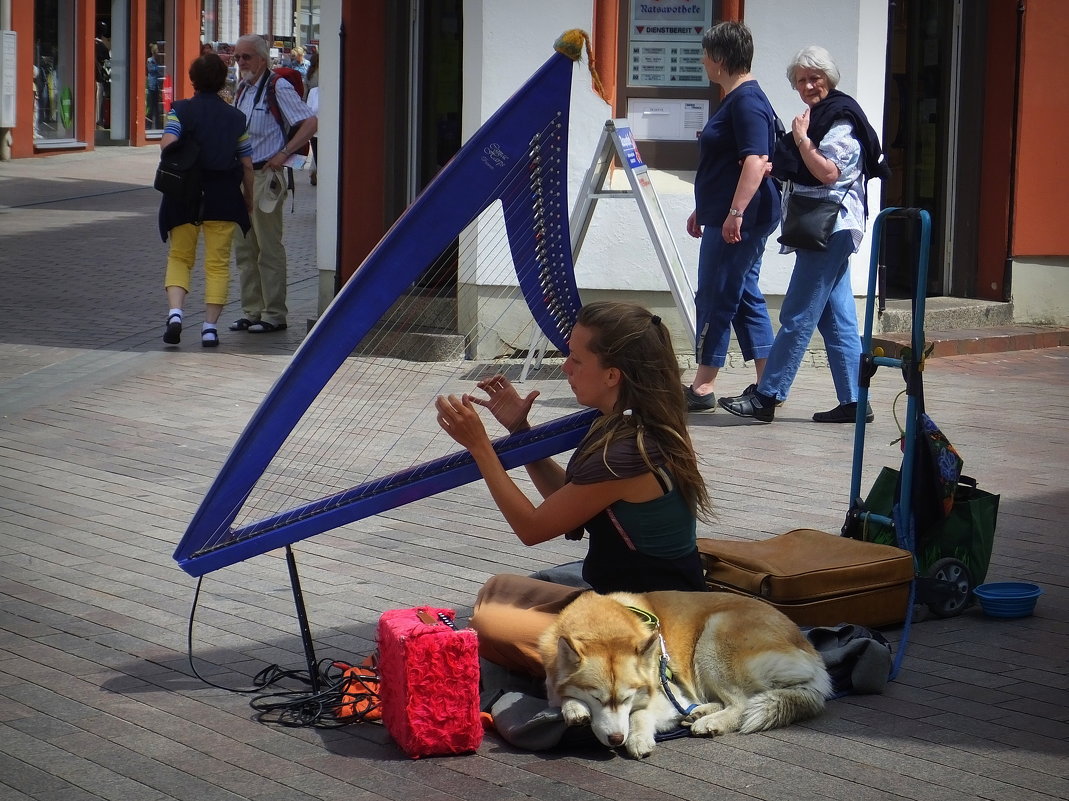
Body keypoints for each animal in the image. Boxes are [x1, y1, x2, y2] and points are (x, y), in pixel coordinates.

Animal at [538, 586, 829, 757]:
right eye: (596, 698)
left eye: (627, 697)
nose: (616, 738)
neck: (602, 628)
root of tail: (809, 648)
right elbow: (562, 695)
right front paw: (575, 708)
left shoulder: (666, 694)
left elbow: (639, 714)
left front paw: (638, 738)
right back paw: (699, 712)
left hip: (712, 639)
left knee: (742, 702)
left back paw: (712, 722)